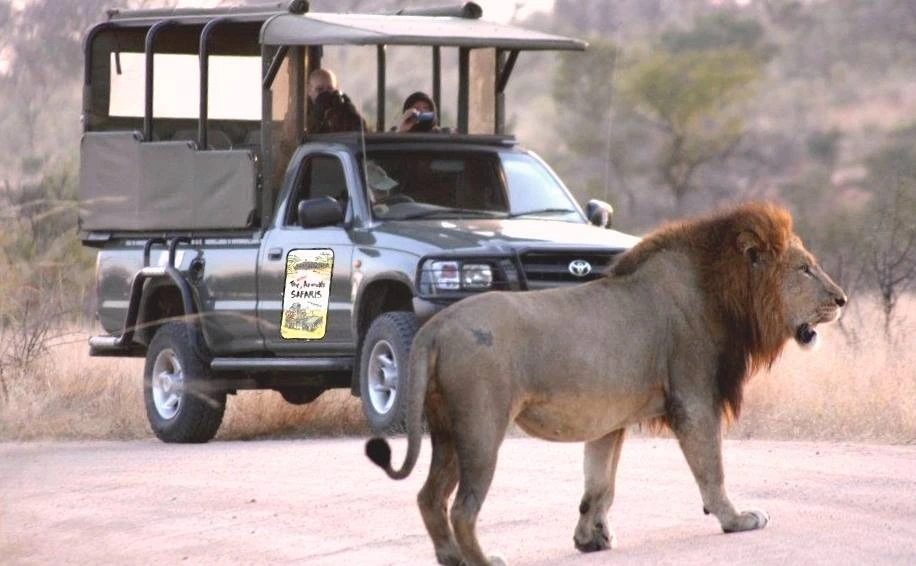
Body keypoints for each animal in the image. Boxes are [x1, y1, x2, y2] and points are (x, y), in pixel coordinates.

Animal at [364, 204, 844, 566]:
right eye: (805, 269)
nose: (841, 300)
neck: (722, 294)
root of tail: (437, 326)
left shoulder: (610, 420)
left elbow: (599, 483)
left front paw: (590, 539)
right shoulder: (693, 399)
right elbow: (712, 469)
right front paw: (737, 519)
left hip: (447, 430)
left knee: (429, 498)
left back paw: (452, 559)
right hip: (481, 426)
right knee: (463, 508)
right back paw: (484, 560)